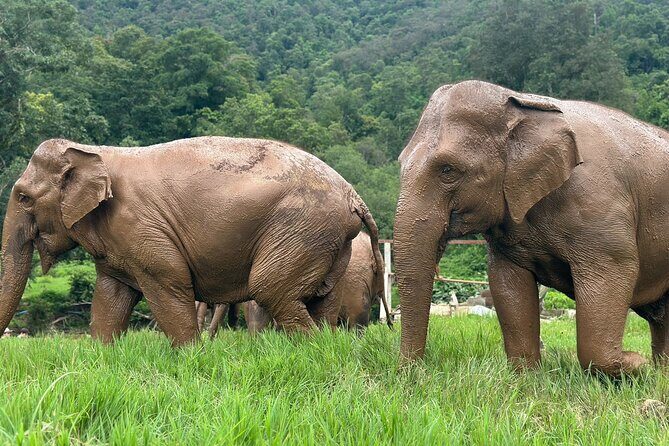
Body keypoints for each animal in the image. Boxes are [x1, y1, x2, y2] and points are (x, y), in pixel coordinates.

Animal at [0, 136, 384, 346]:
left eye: (23, 197)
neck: (93, 150)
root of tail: (354, 195)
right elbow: (111, 297)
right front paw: (101, 360)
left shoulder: (142, 227)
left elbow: (169, 283)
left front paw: (190, 357)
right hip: (331, 242)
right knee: (320, 301)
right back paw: (323, 350)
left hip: (301, 229)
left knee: (272, 289)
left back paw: (311, 350)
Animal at [394, 80, 669, 376]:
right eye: (402, 163)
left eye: (448, 170)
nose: (412, 373)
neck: (520, 102)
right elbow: (507, 283)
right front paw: (525, 377)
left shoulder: (600, 204)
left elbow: (614, 270)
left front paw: (638, 365)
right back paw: (662, 371)